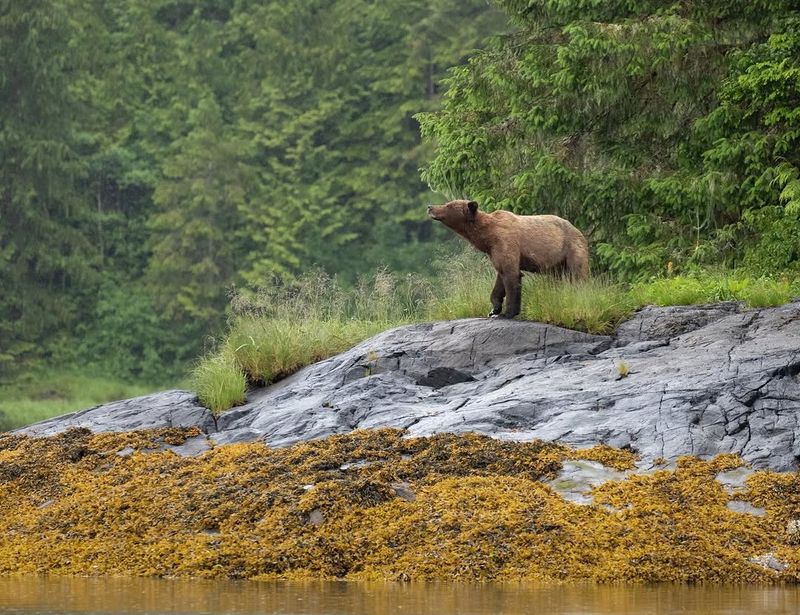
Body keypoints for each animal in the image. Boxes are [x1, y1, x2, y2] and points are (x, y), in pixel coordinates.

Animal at [428, 201, 592, 320]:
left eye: (448, 205)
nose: (430, 207)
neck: (487, 237)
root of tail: (579, 231)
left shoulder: (506, 242)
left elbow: (511, 276)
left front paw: (508, 313)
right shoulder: (494, 252)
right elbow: (500, 278)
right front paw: (493, 309)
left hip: (571, 248)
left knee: (578, 274)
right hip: (558, 261)